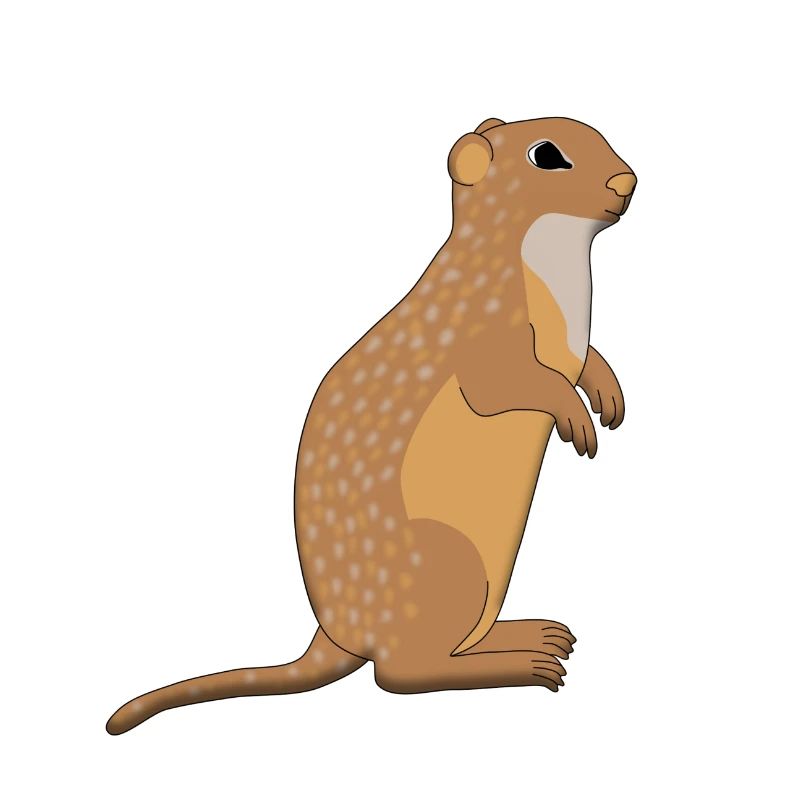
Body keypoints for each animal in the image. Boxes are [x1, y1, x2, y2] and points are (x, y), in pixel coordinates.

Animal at [107, 116, 636, 734]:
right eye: (547, 155)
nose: (627, 181)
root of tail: (336, 635)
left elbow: (587, 359)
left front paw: (608, 394)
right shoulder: (487, 334)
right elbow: (508, 386)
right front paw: (576, 419)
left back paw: (532, 635)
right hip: (450, 564)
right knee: (400, 675)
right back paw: (521, 663)